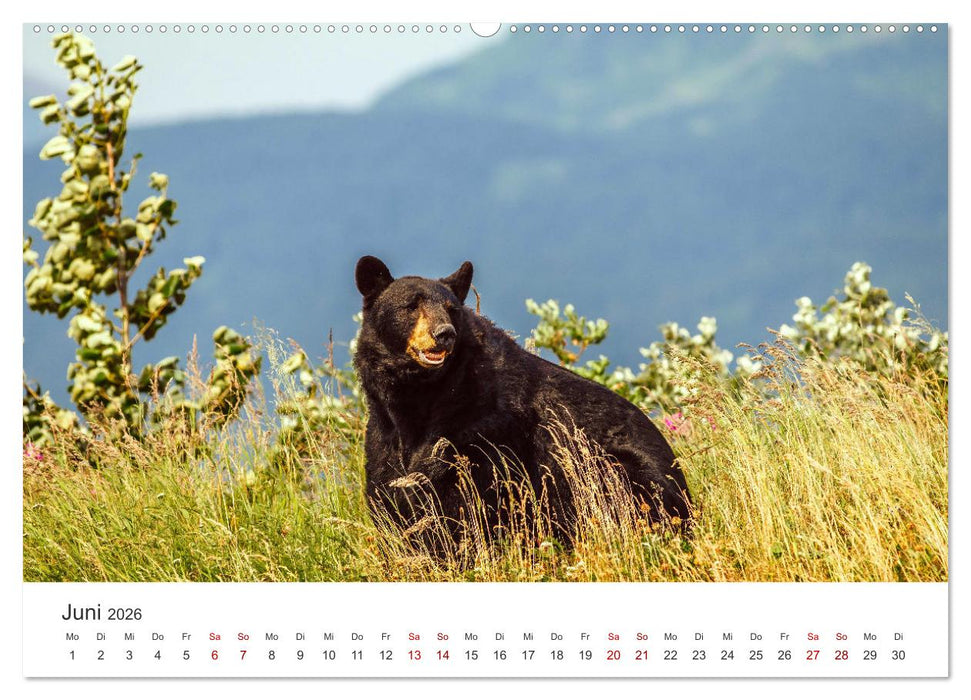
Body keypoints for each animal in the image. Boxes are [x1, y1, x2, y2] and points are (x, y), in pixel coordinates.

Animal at [353, 255, 692, 549]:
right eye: (411, 306)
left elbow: (463, 497)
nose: (444, 333)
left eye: (451, 309)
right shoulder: (384, 431)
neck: (421, 396)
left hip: (616, 470)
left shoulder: (482, 427)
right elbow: (389, 489)